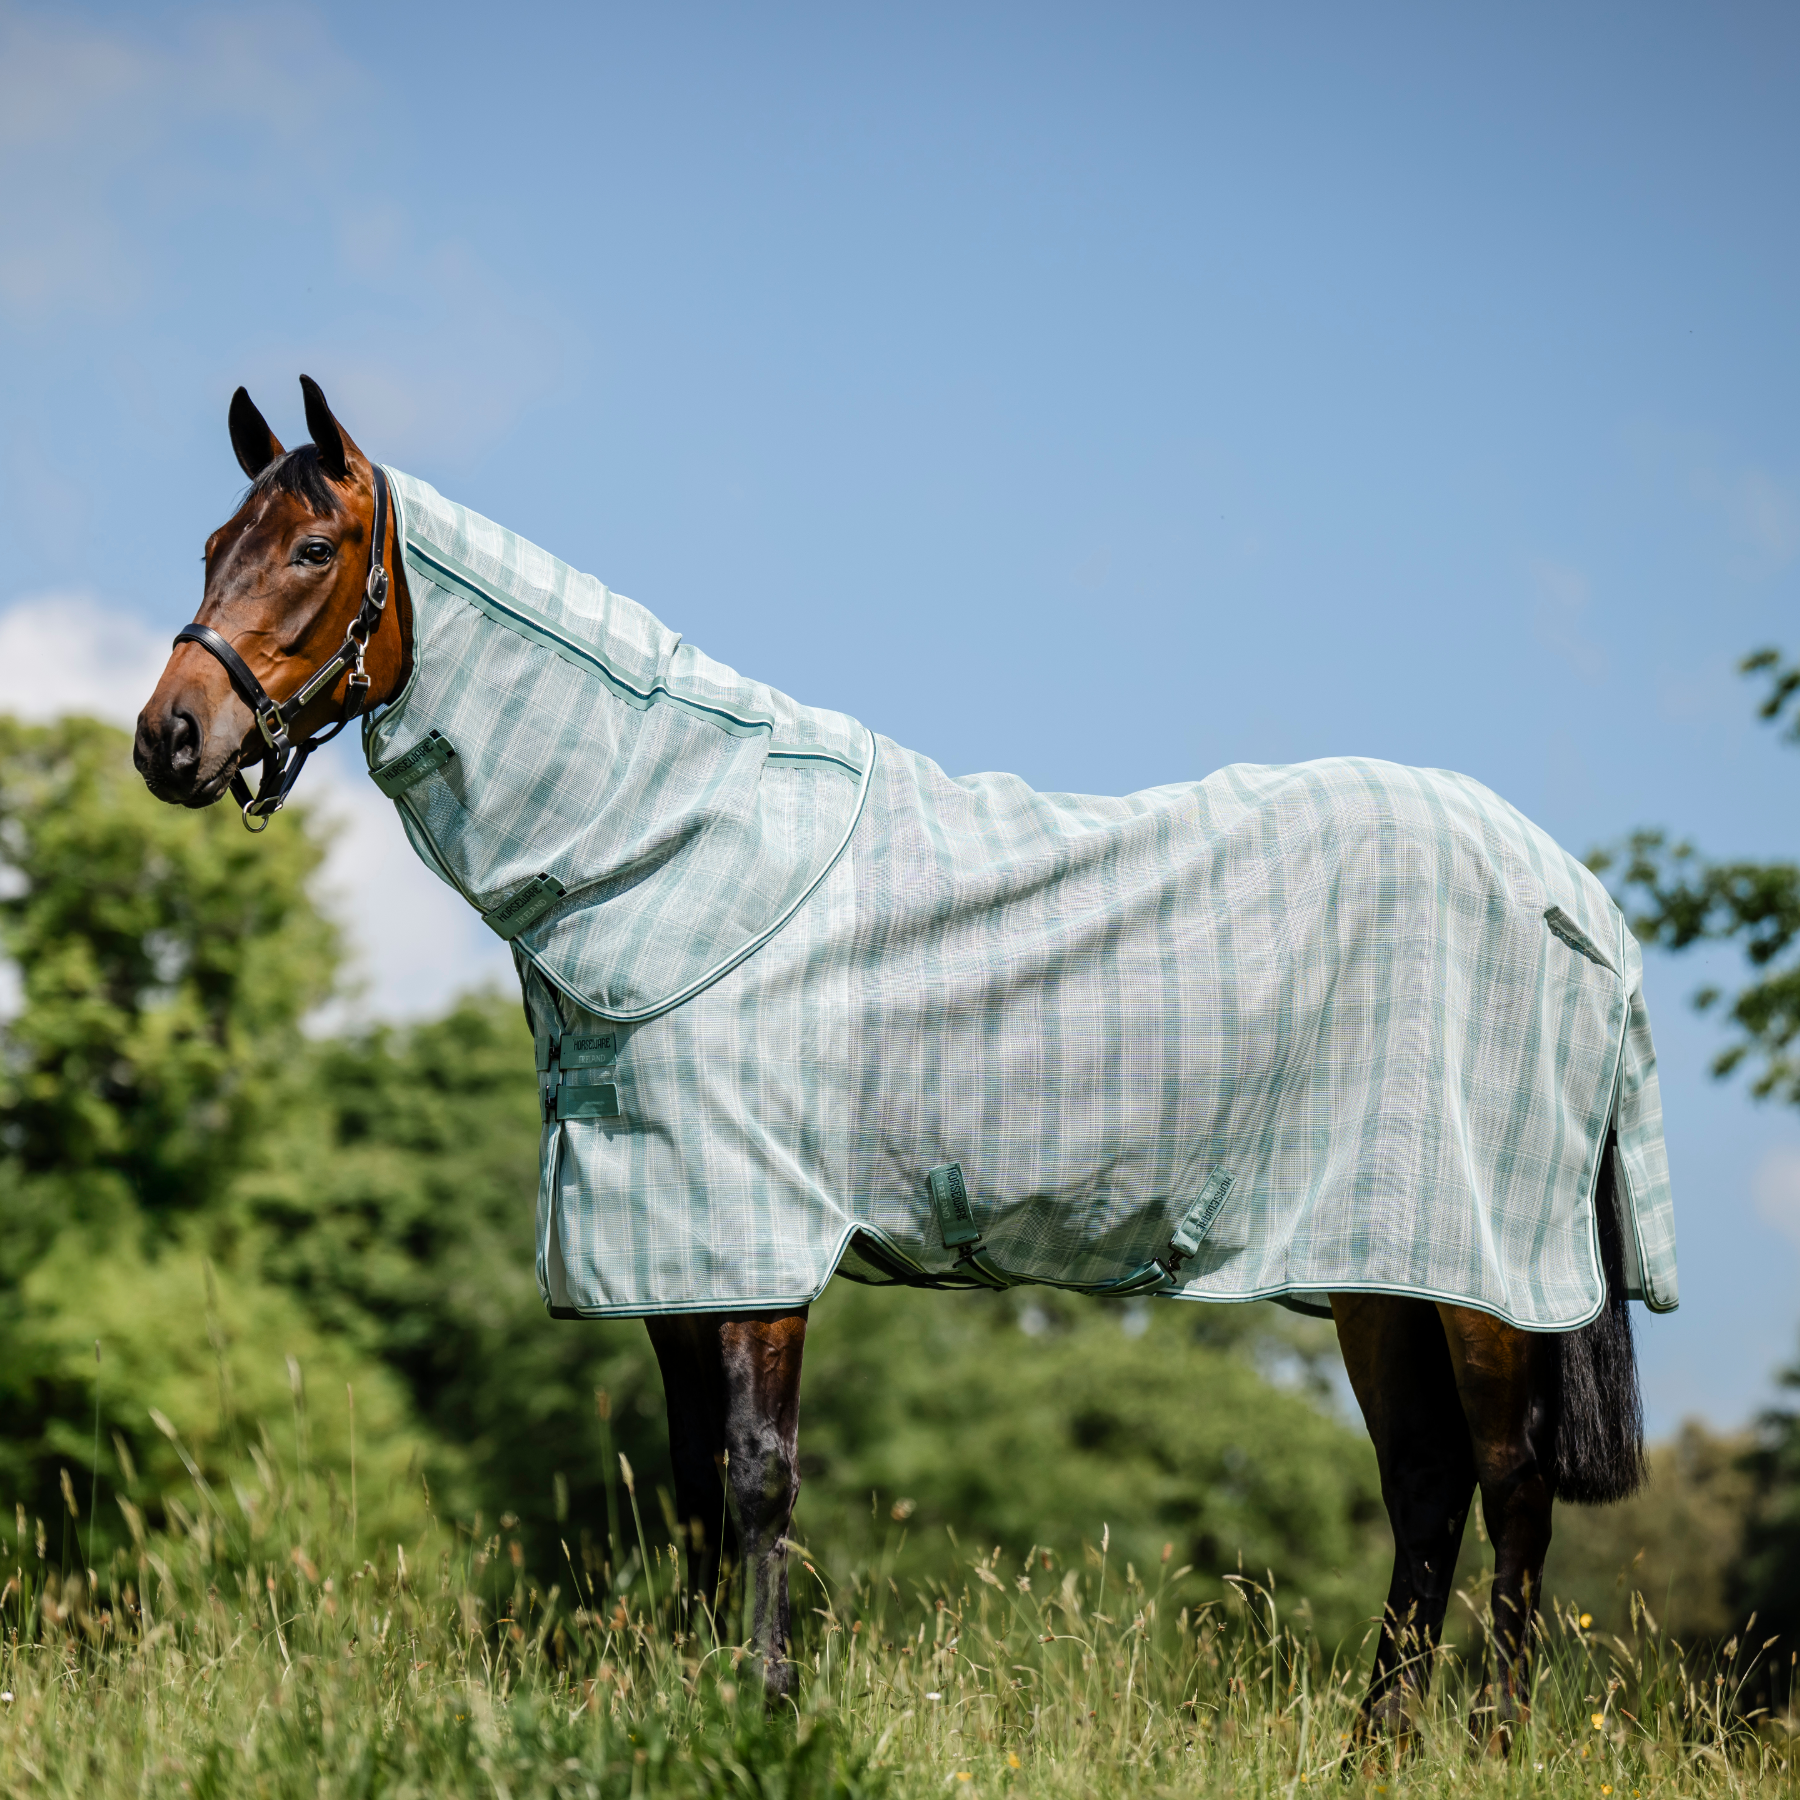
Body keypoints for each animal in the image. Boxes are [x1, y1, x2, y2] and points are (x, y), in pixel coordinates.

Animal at [135, 375, 1665, 1744]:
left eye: (314, 551)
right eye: (210, 547)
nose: (169, 740)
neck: (676, 840)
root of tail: (1574, 895)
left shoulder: (751, 1241)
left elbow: (758, 1480)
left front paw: (765, 1707)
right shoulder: (670, 1250)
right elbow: (695, 1487)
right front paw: (704, 1702)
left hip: (1478, 1278)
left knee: (1511, 1484)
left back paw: (1493, 1743)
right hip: (1376, 1269)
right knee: (1426, 1487)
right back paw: (1373, 1750)